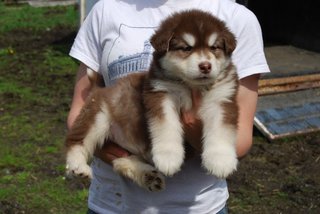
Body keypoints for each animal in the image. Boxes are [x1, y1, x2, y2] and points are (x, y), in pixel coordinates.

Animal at [65, 9, 239, 191]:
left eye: (214, 47)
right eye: (186, 48)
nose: (205, 66)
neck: (191, 86)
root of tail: (98, 89)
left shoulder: (222, 98)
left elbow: (221, 129)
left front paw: (221, 161)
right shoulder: (160, 94)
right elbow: (166, 126)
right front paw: (168, 157)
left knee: (121, 160)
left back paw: (148, 176)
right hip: (97, 115)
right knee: (75, 141)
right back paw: (78, 168)